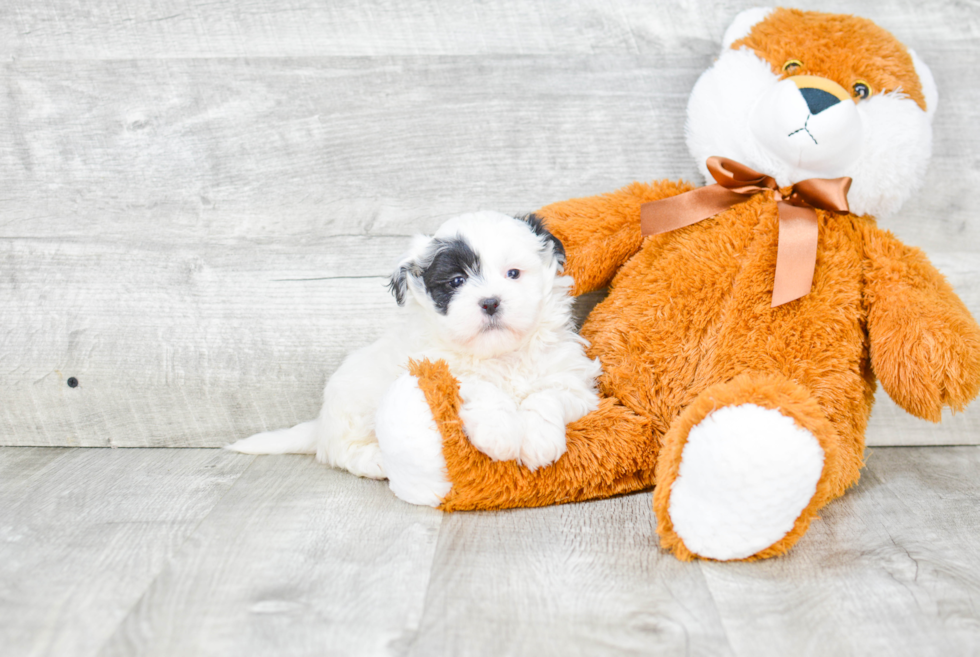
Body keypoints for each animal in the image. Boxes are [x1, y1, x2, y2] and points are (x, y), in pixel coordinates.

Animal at [228, 210, 596, 486]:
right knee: (340, 451)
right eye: (456, 282)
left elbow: (546, 395)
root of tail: (321, 423)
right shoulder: (435, 371)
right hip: (355, 407)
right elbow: (479, 387)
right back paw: (376, 461)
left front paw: (537, 439)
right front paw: (501, 432)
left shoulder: (575, 385)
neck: (501, 355)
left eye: (514, 274)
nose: (490, 302)